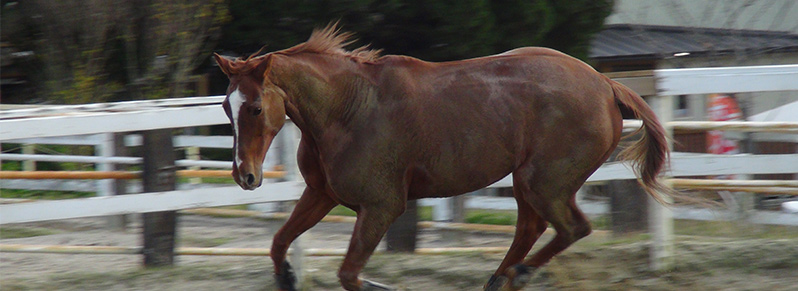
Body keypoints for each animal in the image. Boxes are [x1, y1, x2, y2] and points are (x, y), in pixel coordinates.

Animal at [214, 25, 676, 291]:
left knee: (571, 228)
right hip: (526, 182)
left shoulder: (381, 206)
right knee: (532, 229)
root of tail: (605, 84)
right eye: (224, 106)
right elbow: (279, 243)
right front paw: (287, 277)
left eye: (255, 107)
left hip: (544, 182)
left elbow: (349, 274)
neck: (348, 109)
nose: (245, 176)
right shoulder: (320, 194)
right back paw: (500, 279)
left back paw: (517, 274)